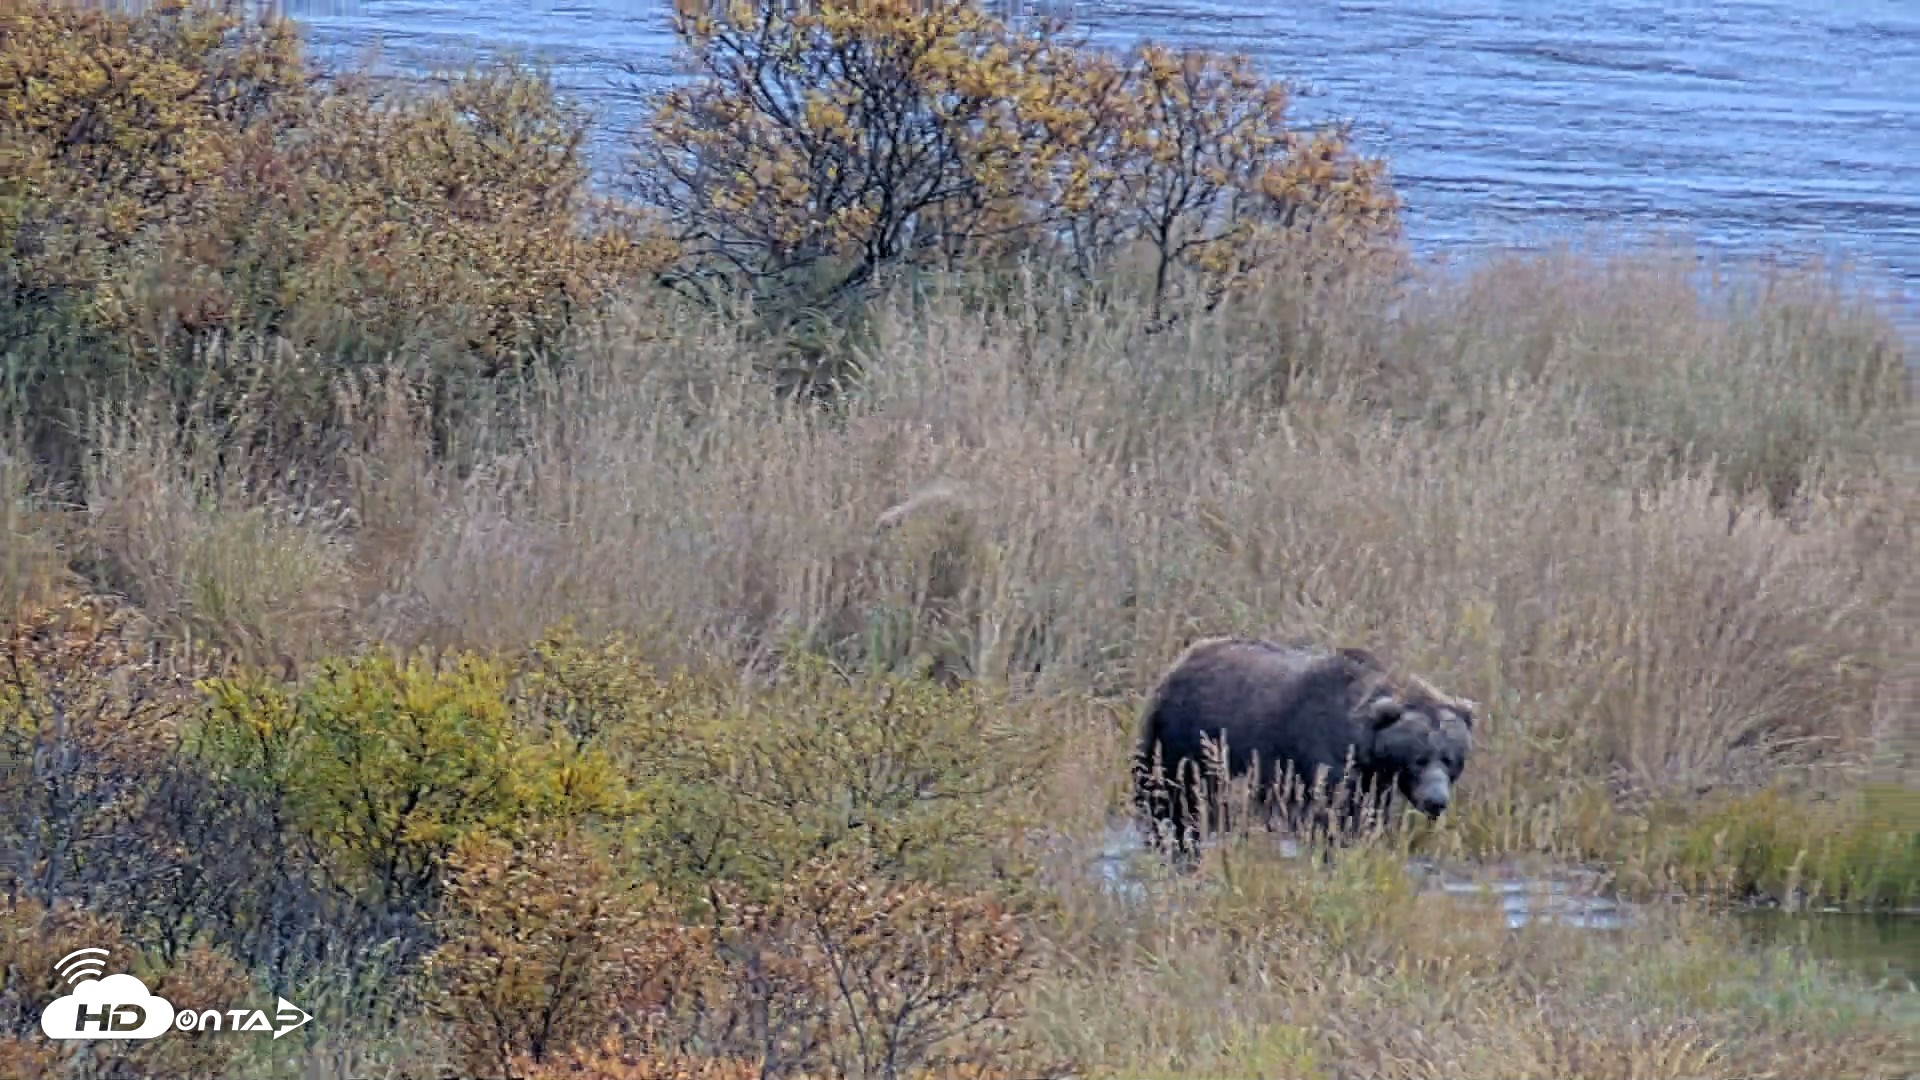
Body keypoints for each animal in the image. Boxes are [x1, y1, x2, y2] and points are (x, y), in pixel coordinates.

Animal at [1131, 637, 1477, 858]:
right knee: (1166, 801)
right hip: (1180, 742)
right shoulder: (1320, 759)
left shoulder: (1373, 783)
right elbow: (1330, 817)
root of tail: (1182, 660)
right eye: (1419, 758)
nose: (1436, 800)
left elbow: (1367, 817)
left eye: (1450, 759)